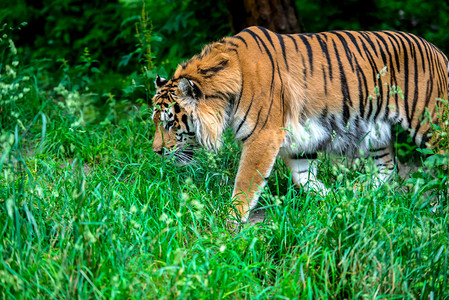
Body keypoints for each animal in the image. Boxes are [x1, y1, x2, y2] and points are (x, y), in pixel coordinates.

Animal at [151, 25, 448, 223]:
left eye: (170, 123)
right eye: (156, 121)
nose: (156, 152)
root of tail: (438, 51)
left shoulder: (264, 136)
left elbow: (245, 183)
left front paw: (229, 221)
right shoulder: (296, 138)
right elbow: (303, 176)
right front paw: (331, 200)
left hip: (430, 122)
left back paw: (435, 210)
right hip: (376, 130)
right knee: (387, 169)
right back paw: (361, 196)